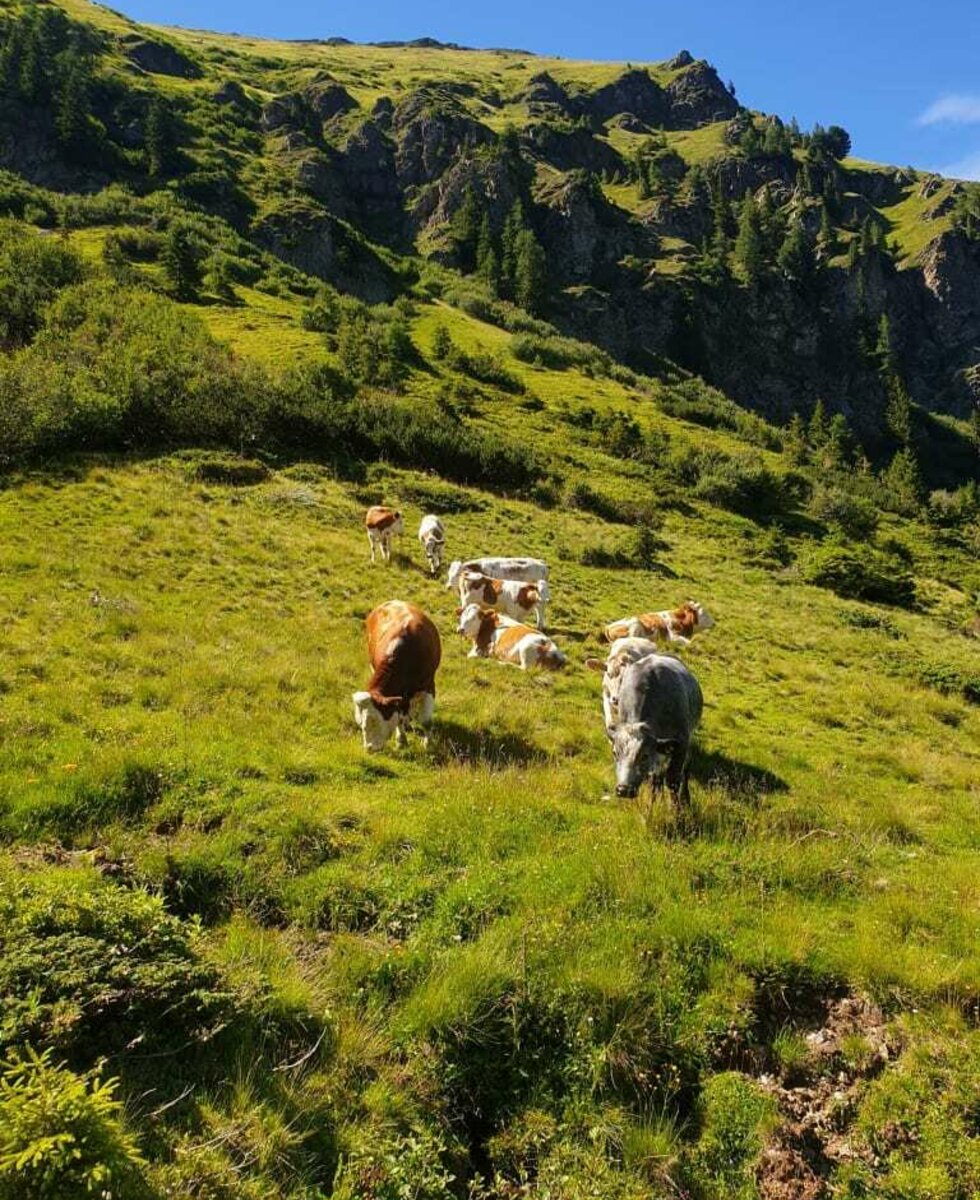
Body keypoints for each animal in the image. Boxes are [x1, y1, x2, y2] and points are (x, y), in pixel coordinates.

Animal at [352, 600, 439, 748]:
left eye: (374, 720)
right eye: (361, 723)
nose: (369, 748)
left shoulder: (428, 685)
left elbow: (426, 721)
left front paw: (428, 744)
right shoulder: (398, 696)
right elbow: (399, 717)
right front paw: (401, 740)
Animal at [606, 652, 700, 801]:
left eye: (644, 756)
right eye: (615, 753)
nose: (623, 789)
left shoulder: (682, 743)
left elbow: (673, 780)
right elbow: (654, 778)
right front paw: (653, 802)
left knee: (685, 769)